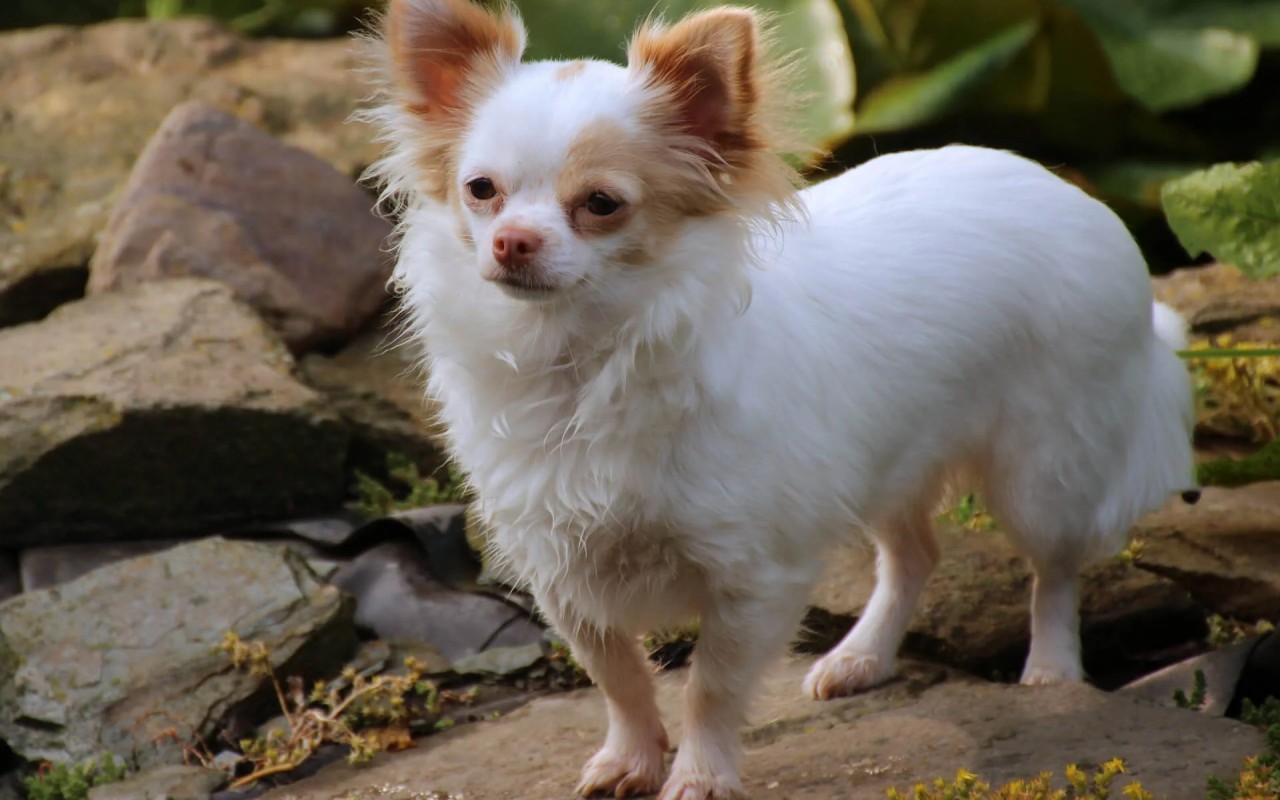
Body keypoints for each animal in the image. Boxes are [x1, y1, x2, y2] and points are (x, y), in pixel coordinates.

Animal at [363, 3, 1198, 793]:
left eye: (601, 204)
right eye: (480, 192)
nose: (512, 241)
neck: (577, 363)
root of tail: (1069, 188)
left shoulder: (753, 577)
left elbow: (707, 688)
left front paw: (700, 777)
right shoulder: (562, 573)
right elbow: (619, 677)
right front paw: (630, 759)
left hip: (1043, 474)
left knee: (1053, 570)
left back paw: (1053, 674)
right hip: (882, 459)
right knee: (916, 555)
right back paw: (863, 657)